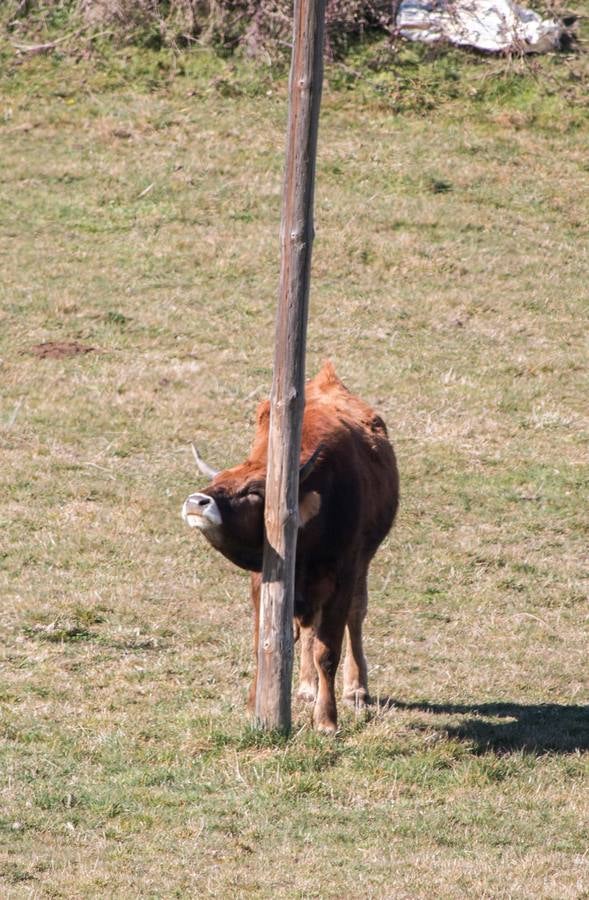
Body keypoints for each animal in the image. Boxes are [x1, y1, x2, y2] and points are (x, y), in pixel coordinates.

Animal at [181, 362, 398, 736]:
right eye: (217, 481)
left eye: (253, 491)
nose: (197, 501)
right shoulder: (264, 579)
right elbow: (267, 642)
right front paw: (256, 706)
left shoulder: (343, 575)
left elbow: (328, 649)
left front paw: (327, 720)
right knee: (307, 627)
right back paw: (307, 686)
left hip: (362, 564)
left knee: (355, 616)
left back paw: (356, 689)